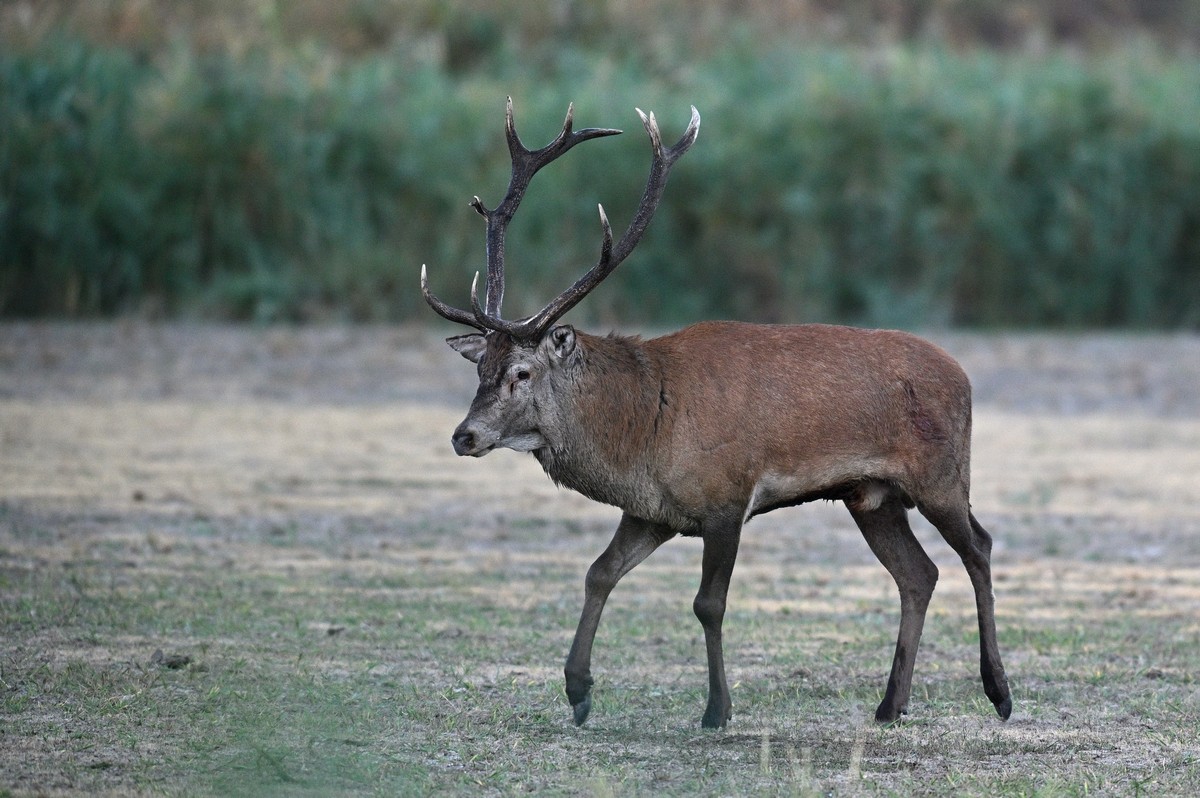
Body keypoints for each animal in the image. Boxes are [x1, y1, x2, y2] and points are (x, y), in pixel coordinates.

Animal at [421, 98, 1012, 730]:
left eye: (521, 373)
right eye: (481, 370)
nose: (463, 436)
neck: (643, 429)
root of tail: (963, 375)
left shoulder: (728, 496)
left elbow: (709, 603)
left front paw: (717, 708)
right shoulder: (654, 510)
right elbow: (598, 571)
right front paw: (578, 692)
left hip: (941, 475)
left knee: (979, 547)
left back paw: (999, 692)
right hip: (871, 496)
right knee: (918, 574)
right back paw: (890, 703)